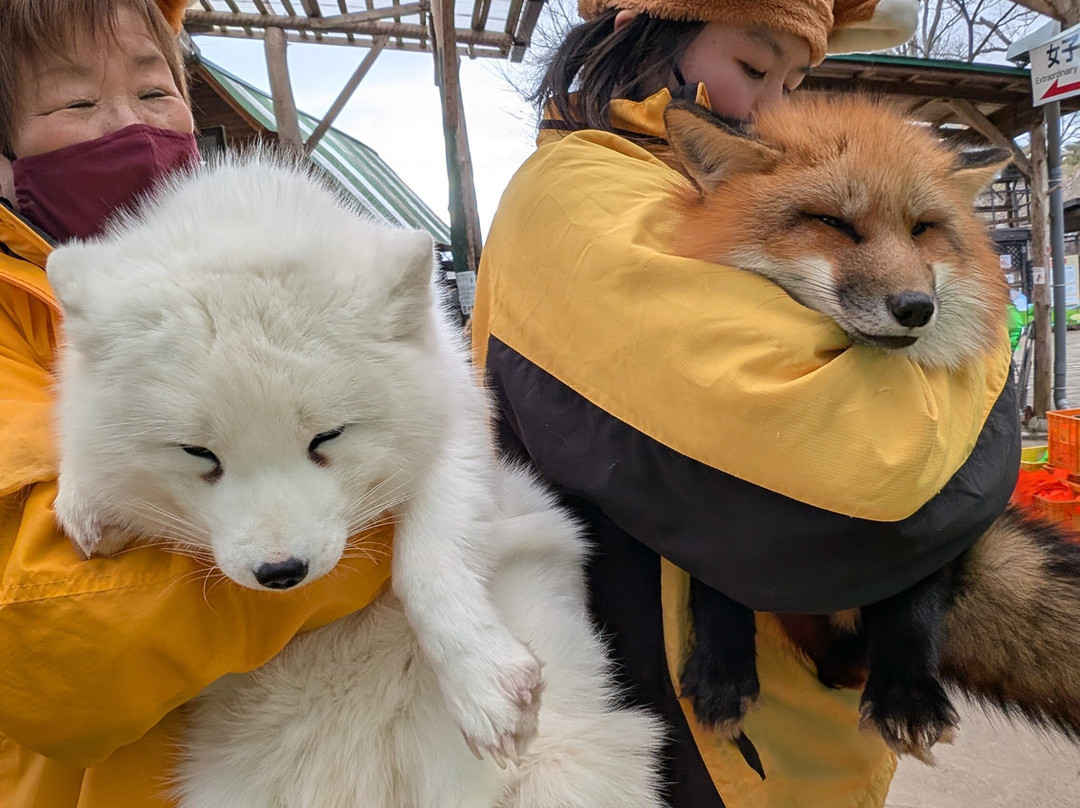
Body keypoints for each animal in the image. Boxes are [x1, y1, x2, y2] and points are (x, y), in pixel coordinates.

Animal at [45, 155, 665, 808]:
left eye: (328, 437)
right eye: (198, 452)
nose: (282, 572)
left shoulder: (457, 429)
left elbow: (427, 559)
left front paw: (478, 679)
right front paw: (84, 498)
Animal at [661, 95, 1080, 762]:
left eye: (922, 229)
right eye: (833, 223)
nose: (916, 307)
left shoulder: (943, 505)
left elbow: (913, 602)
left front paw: (906, 692)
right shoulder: (698, 477)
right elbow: (715, 584)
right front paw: (721, 674)